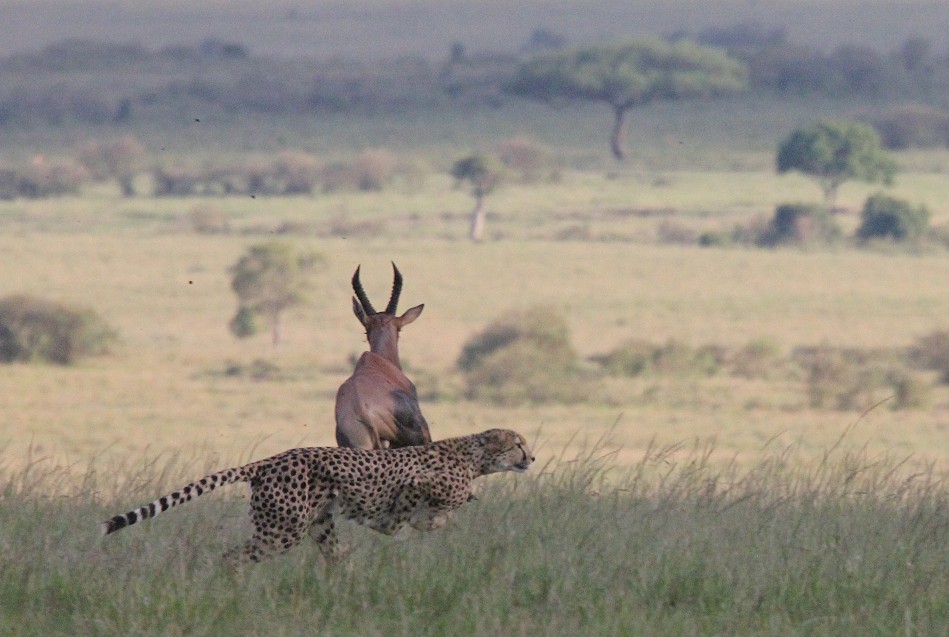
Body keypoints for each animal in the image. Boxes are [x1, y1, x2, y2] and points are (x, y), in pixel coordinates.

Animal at [105, 428, 532, 560]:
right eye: (518, 444)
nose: (532, 457)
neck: (474, 457)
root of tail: (269, 460)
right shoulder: (417, 484)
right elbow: (420, 512)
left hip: (319, 523)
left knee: (336, 556)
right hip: (283, 530)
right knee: (233, 557)